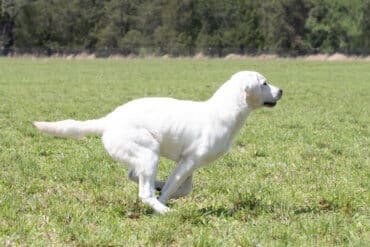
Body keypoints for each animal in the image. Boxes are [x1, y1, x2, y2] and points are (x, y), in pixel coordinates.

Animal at [34, 71, 284, 214]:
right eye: (264, 83)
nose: (281, 90)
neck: (226, 111)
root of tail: (108, 120)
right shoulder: (189, 161)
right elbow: (175, 186)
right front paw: (165, 200)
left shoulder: (189, 162)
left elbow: (184, 187)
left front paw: (167, 191)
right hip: (149, 152)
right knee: (144, 193)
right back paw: (164, 210)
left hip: (142, 156)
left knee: (133, 176)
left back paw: (157, 188)